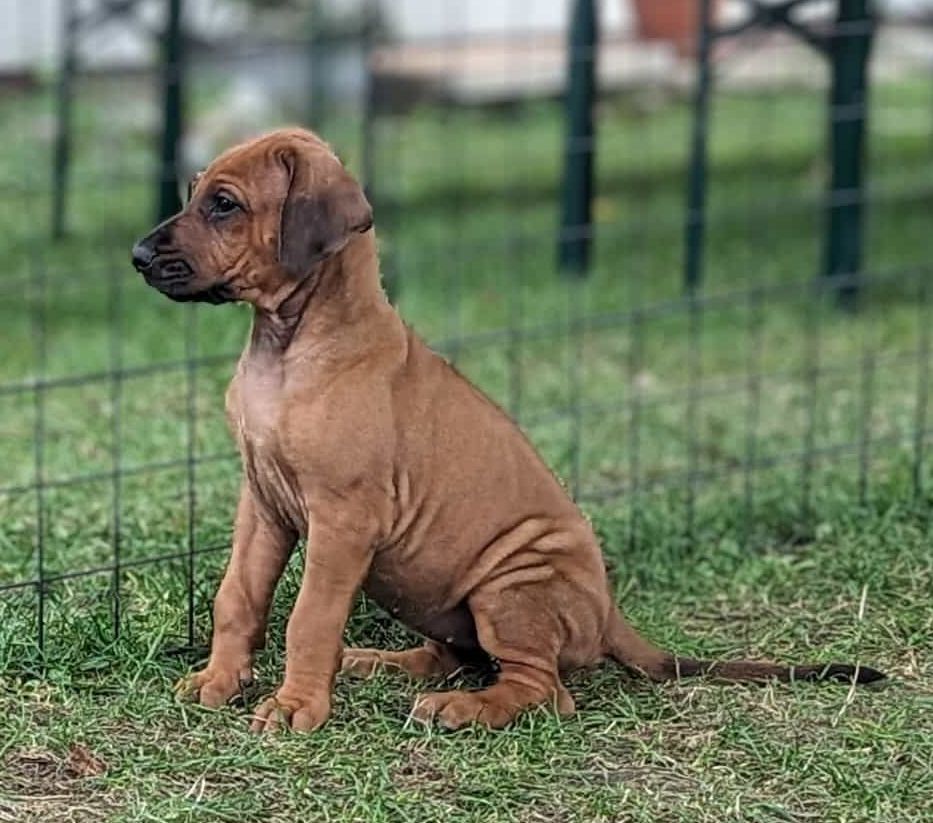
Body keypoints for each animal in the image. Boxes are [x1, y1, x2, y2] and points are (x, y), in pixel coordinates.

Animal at [131, 128, 884, 733]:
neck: (289, 348)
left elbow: (309, 616)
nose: (137, 255)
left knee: (542, 689)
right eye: (194, 194)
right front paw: (220, 679)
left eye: (224, 205)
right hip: (437, 592)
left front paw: (295, 706)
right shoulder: (263, 504)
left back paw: (464, 708)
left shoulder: (342, 520)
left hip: (510, 585)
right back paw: (379, 661)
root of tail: (608, 612)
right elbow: (238, 596)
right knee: (455, 654)